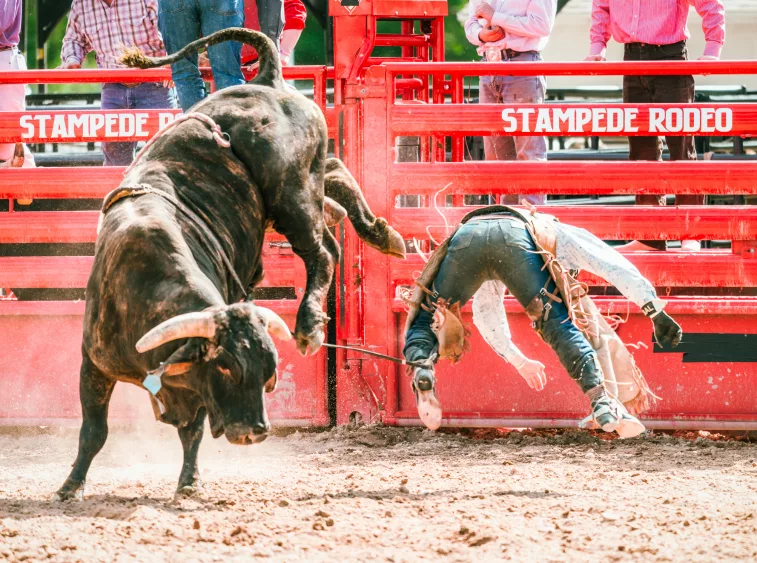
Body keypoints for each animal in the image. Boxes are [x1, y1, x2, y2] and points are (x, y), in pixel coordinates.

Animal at [55, 28, 404, 500]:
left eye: (268, 373)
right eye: (226, 366)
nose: (255, 431)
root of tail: (269, 83)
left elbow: (191, 431)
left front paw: (188, 480)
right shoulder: (94, 364)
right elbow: (95, 431)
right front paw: (71, 484)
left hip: (290, 192)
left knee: (322, 252)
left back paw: (311, 323)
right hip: (297, 192)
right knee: (333, 184)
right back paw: (380, 232)